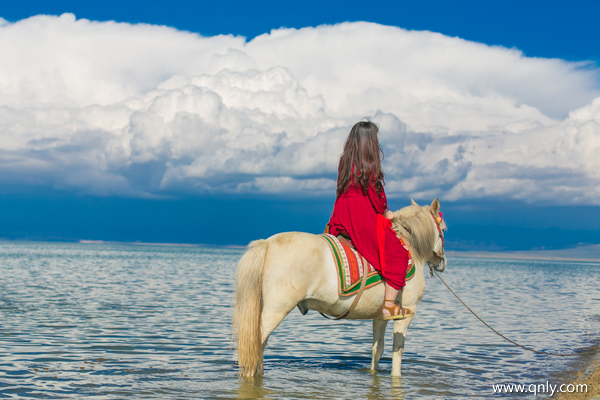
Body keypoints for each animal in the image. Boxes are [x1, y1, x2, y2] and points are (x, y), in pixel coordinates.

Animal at [232, 198, 448, 376]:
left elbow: (377, 350)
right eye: (444, 230)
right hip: (276, 310)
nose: (442, 262)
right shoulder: (407, 312)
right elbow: (398, 352)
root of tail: (267, 243)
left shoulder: (380, 316)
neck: (411, 247)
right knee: (254, 345)